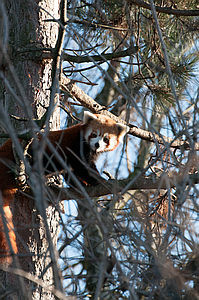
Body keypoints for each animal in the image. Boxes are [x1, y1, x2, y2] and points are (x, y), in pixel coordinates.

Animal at [0, 112, 129, 262]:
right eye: (94, 134)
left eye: (106, 138)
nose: (97, 144)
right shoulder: (74, 147)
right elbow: (83, 168)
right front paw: (98, 180)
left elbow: (71, 172)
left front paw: (80, 184)